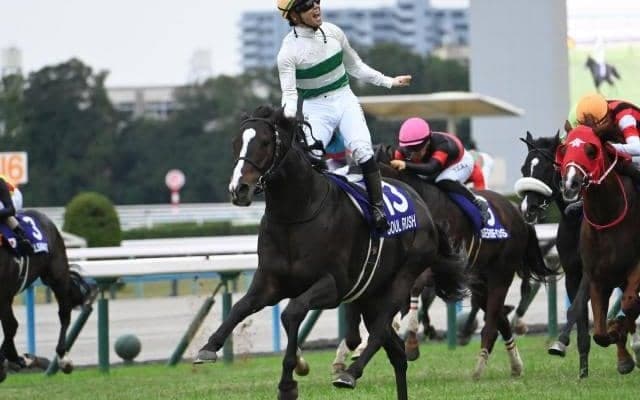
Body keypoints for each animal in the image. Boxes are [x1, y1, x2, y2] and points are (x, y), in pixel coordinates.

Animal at [0, 210, 95, 383]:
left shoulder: (3, 293)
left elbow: (11, 326)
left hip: (57, 275)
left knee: (64, 314)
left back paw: (62, 358)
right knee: (11, 326)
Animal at [193, 105, 468, 400]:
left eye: (265, 142)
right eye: (236, 143)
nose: (239, 189)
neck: (296, 214)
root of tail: (423, 206)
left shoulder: (333, 285)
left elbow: (292, 312)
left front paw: (289, 381)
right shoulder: (269, 282)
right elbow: (240, 307)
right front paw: (208, 347)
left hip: (403, 278)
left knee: (380, 332)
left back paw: (349, 374)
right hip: (370, 294)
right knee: (395, 351)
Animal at [361, 144, 557, 379]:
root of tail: (518, 214)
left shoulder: (436, 262)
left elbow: (415, 289)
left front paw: (411, 342)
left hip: (501, 273)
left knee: (491, 323)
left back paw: (479, 368)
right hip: (481, 280)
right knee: (499, 318)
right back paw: (515, 365)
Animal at [560, 125, 640, 375]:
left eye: (591, 150)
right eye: (564, 149)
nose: (570, 184)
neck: (607, 215)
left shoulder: (636, 268)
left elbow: (630, 303)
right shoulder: (596, 278)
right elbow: (599, 334)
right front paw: (623, 356)